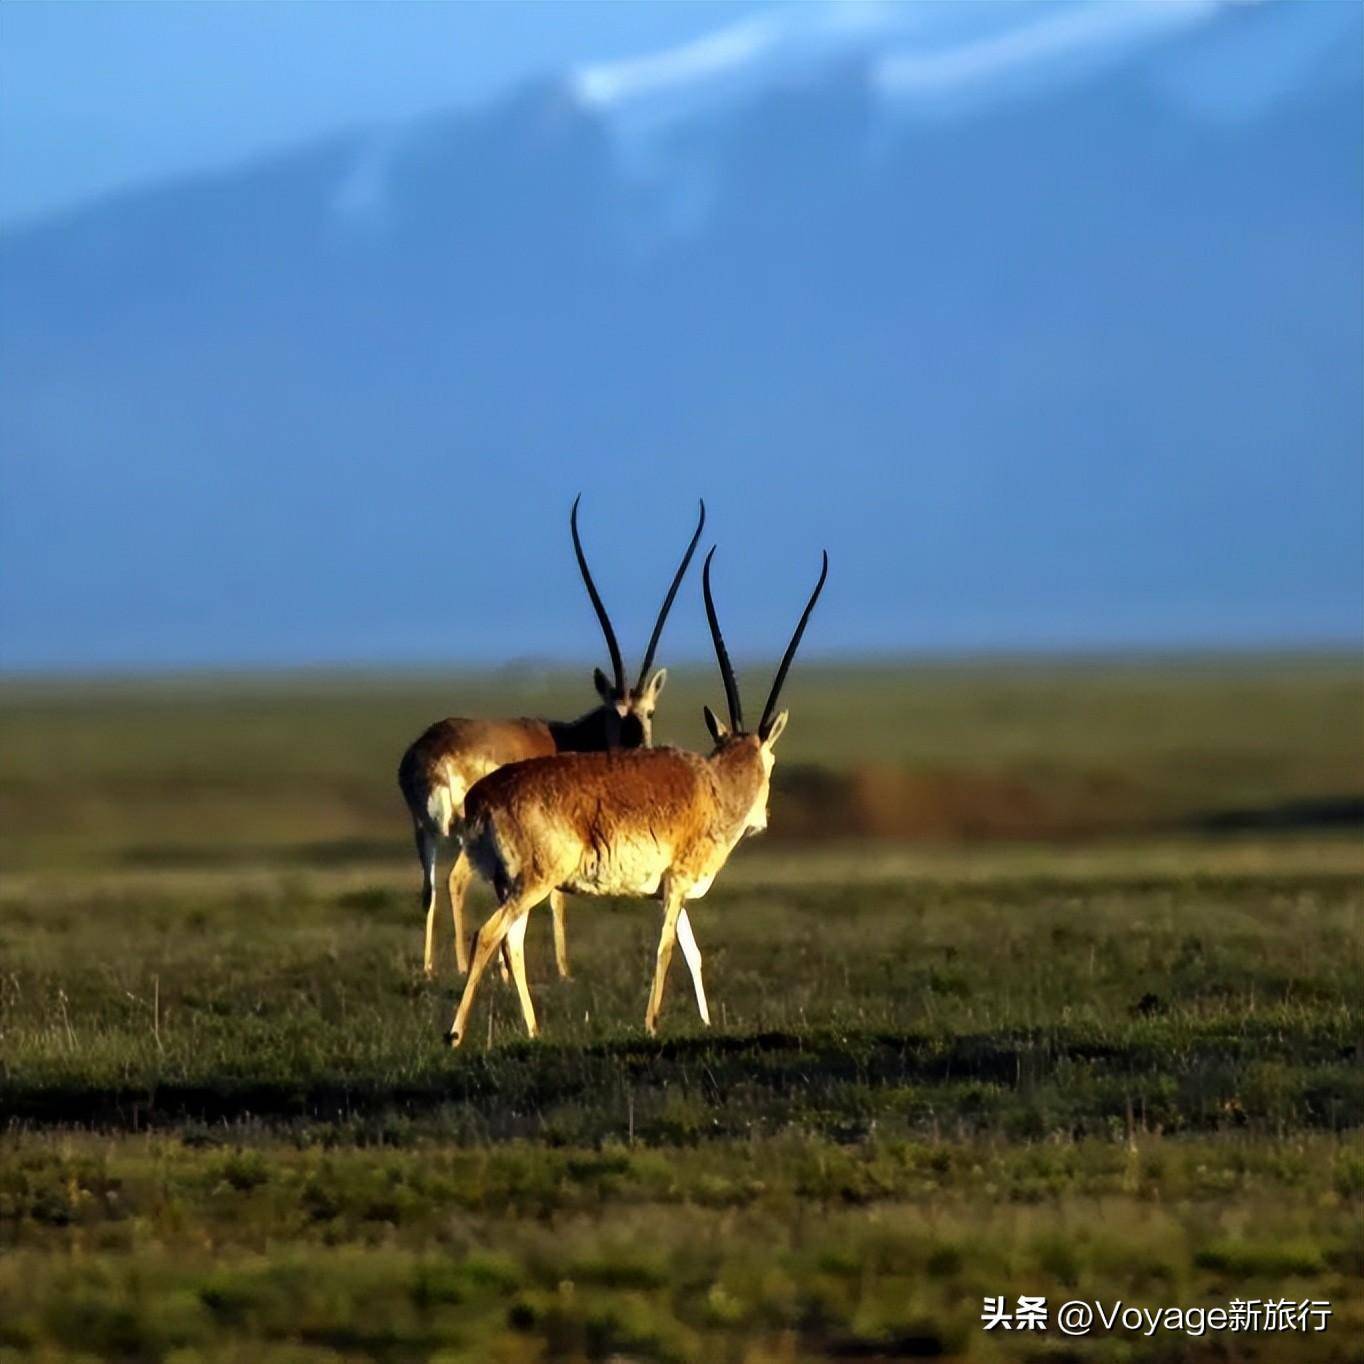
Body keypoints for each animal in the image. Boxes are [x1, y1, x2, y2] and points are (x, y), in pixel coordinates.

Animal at [395, 501, 703, 982]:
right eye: (615, 711)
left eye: (647, 712)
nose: (637, 747)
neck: (568, 736)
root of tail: (433, 758)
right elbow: (557, 896)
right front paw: (562, 969)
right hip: (468, 833)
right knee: (459, 882)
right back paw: (470, 967)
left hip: (422, 830)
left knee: (428, 888)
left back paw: (431, 969)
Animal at [452, 542, 823, 1042]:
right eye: (773, 761)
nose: (763, 821)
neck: (714, 784)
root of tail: (482, 796)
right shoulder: (678, 884)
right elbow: (666, 950)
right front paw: (651, 1023)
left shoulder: (670, 892)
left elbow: (693, 952)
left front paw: (706, 1021)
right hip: (533, 882)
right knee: (489, 936)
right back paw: (454, 1034)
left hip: (512, 886)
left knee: (513, 943)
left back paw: (533, 1031)